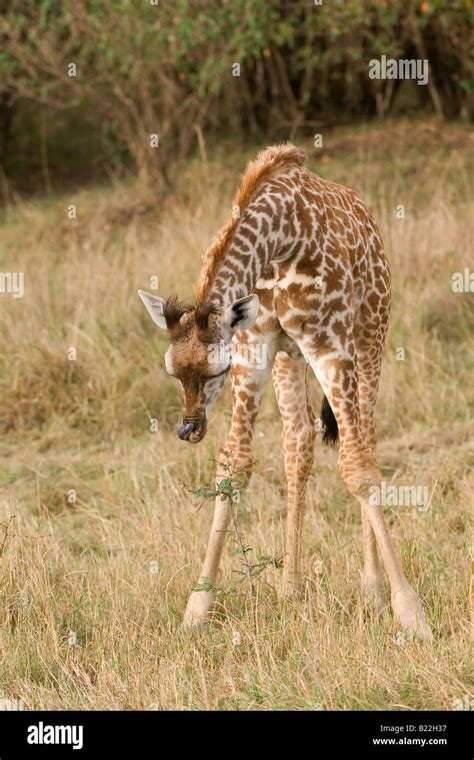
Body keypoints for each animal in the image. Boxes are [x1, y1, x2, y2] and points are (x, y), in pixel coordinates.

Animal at [139, 141, 432, 636]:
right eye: (173, 371)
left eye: (217, 370)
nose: (189, 428)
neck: (281, 244)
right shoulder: (256, 347)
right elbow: (234, 464)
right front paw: (197, 607)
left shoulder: (328, 344)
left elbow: (357, 467)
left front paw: (409, 611)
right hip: (289, 357)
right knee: (299, 444)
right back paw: (290, 588)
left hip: (370, 333)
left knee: (365, 438)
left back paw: (371, 589)